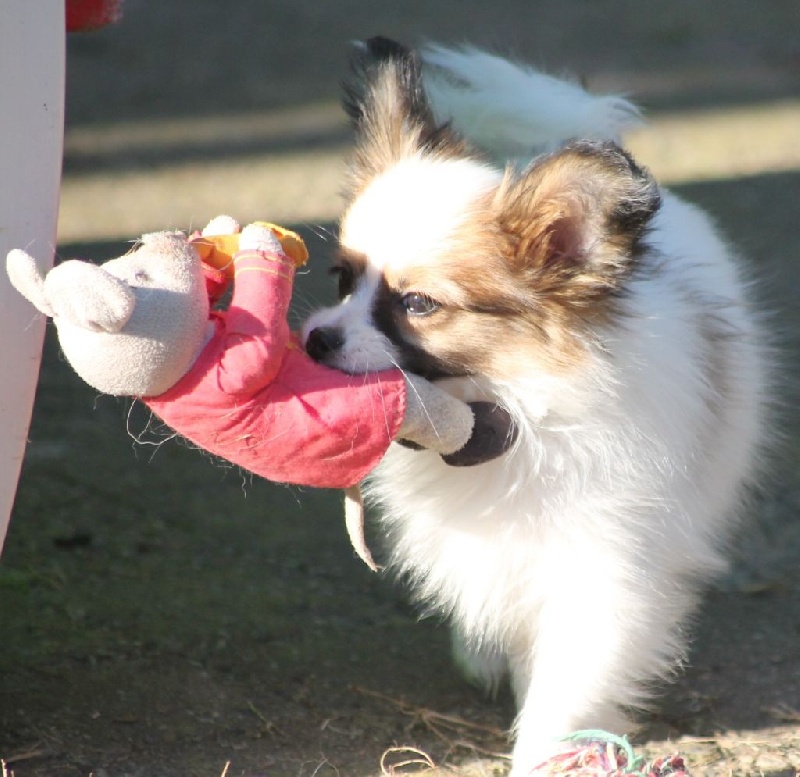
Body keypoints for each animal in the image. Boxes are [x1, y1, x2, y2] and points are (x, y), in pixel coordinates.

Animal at [302, 39, 776, 772]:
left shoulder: (604, 569)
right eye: (342, 279)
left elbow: (565, 687)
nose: (316, 338)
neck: (512, 409)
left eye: (418, 304)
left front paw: (543, 748)